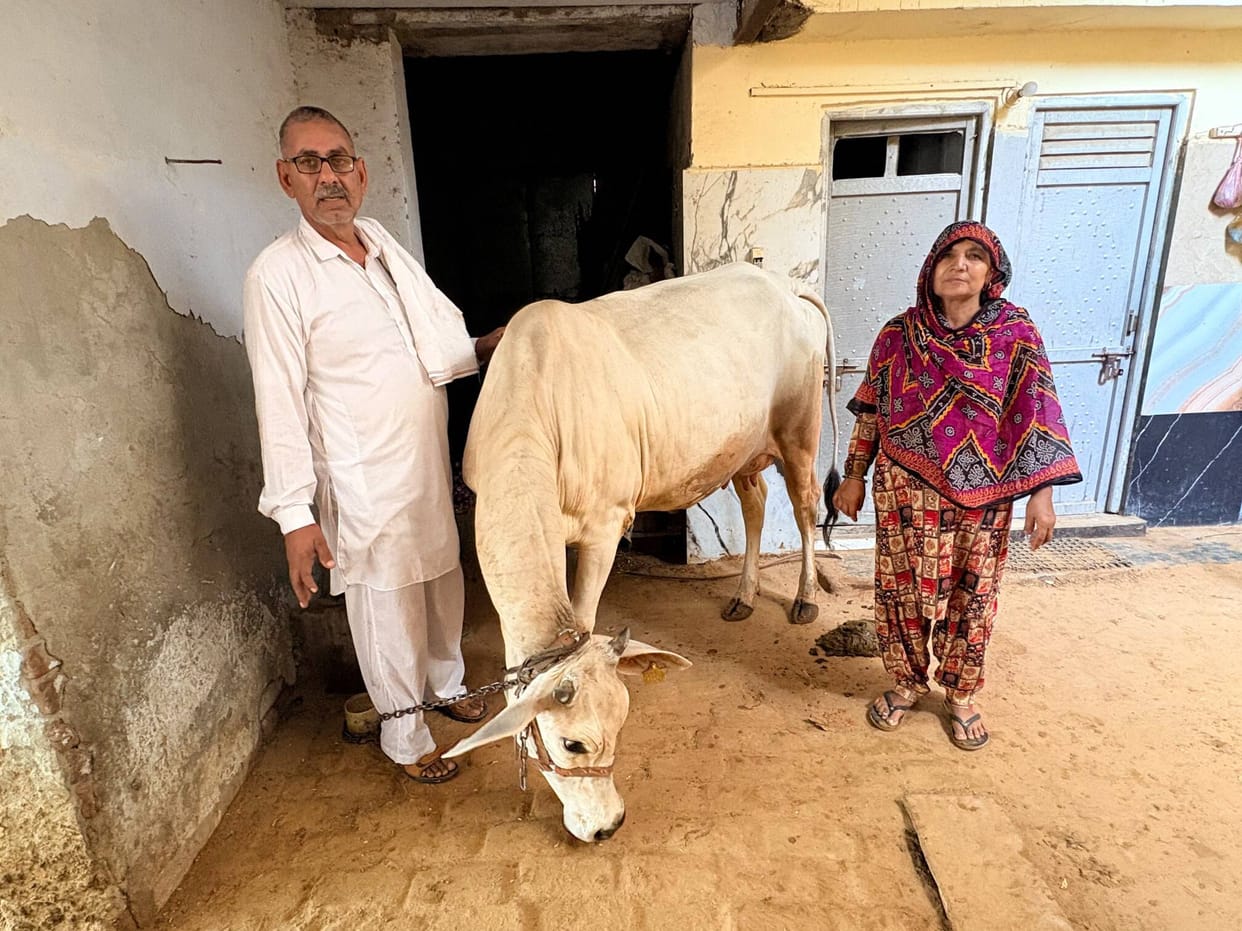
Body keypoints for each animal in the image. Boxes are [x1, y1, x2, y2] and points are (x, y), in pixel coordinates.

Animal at [446, 262, 840, 842]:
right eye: (573, 744)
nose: (611, 825)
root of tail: (781, 283)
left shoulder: (606, 523)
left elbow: (586, 614)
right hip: (742, 447)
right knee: (755, 503)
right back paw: (743, 596)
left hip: (799, 432)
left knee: (806, 505)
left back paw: (806, 597)